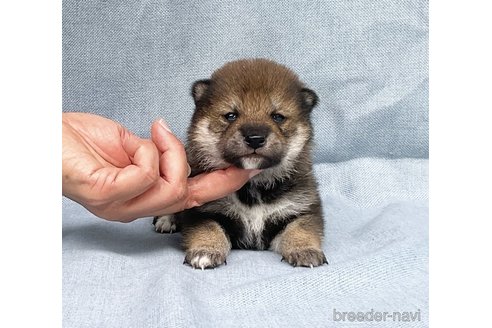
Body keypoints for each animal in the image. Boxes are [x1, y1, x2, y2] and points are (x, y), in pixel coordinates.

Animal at [156, 59, 328, 270]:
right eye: (231, 115)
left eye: (277, 116)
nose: (255, 138)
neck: (254, 187)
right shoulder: (204, 212)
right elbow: (210, 228)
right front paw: (205, 251)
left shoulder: (301, 209)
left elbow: (300, 228)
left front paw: (305, 250)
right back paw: (166, 220)